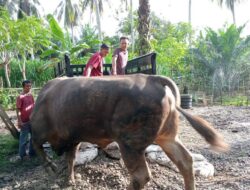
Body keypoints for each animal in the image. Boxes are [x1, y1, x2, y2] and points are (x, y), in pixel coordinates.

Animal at [30, 74, 228, 190]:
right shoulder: (73, 139)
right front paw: (68, 180)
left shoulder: (42, 131)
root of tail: (152, 78)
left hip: (129, 146)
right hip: (167, 138)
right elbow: (70, 159)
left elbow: (37, 145)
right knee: (185, 161)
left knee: (141, 176)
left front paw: (51, 167)